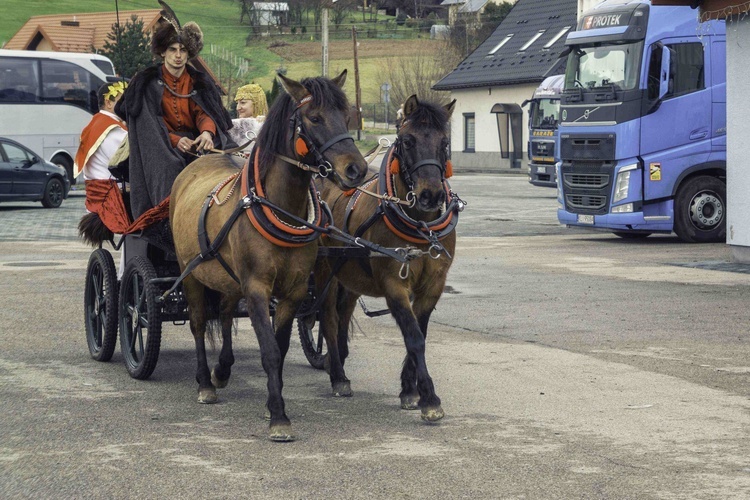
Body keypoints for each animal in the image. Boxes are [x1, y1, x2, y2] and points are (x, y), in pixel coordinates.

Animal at [171, 71, 370, 442]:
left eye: (346, 114)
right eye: (314, 118)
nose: (356, 169)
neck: (277, 207)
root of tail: (201, 159)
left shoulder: (292, 292)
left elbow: (279, 346)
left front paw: (271, 403)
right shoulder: (257, 289)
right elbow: (269, 351)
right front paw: (279, 416)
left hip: (228, 279)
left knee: (224, 313)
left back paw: (222, 370)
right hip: (190, 273)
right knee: (198, 322)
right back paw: (205, 382)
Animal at [316, 94, 462, 422]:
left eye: (445, 142)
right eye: (407, 141)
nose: (431, 195)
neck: (420, 225)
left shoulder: (433, 285)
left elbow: (419, 333)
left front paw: (409, 389)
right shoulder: (394, 283)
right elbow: (414, 337)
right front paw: (429, 398)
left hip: (350, 277)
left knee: (343, 314)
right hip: (325, 273)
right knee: (329, 318)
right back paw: (338, 376)